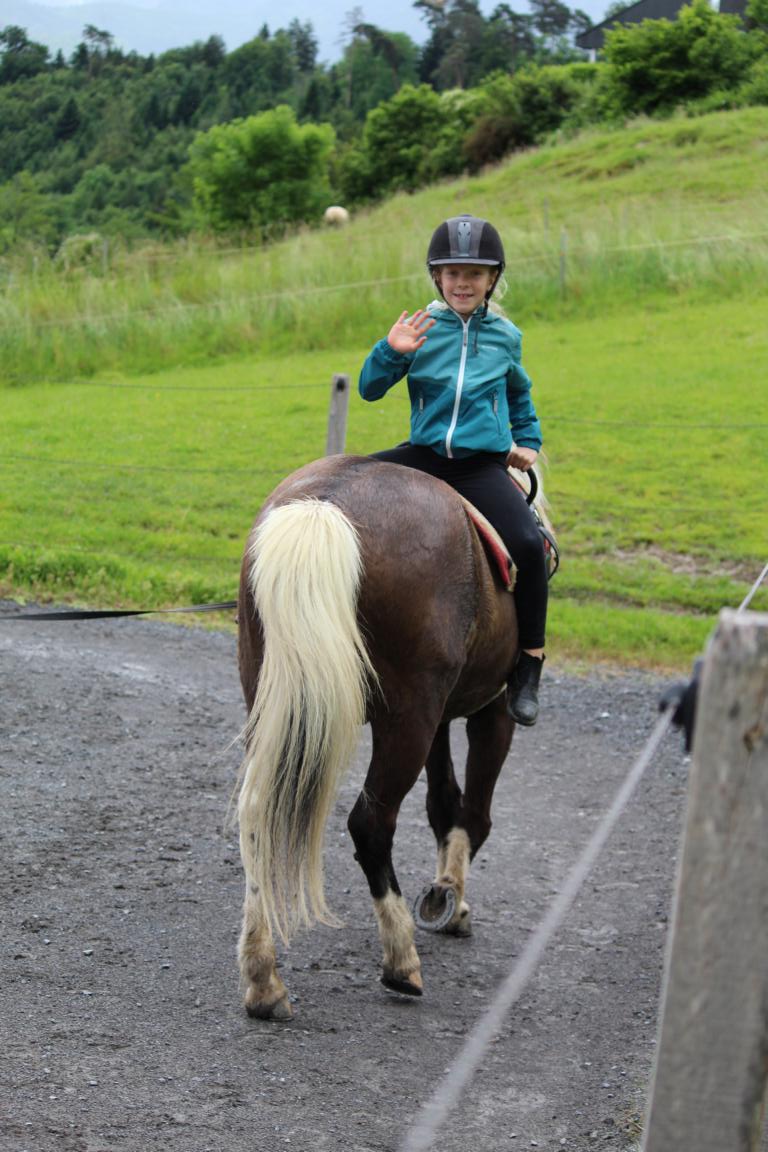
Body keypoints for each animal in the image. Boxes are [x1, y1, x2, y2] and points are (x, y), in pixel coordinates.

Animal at [235, 453, 549, 1020]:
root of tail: (326, 508)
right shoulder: (491, 712)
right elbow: (474, 813)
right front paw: (450, 898)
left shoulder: (441, 716)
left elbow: (443, 801)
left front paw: (445, 894)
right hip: (407, 719)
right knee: (371, 825)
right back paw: (401, 958)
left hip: (275, 703)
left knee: (256, 814)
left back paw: (263, 977)